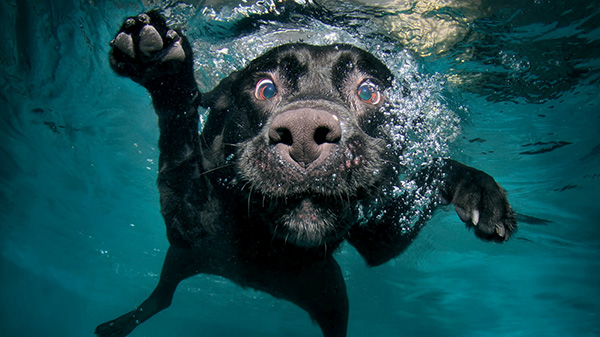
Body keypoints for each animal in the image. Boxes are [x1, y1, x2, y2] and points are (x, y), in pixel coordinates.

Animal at [97, 11, 516, 336]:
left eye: (369, 92)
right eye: (265, 89)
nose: (302, 136)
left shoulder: (381, 239)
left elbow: (433, 172)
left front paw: (479, 191)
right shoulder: (188, 222)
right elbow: (178, 142)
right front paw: (163, 67)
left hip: (331, 296)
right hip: (182, 260)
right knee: (161, 299)